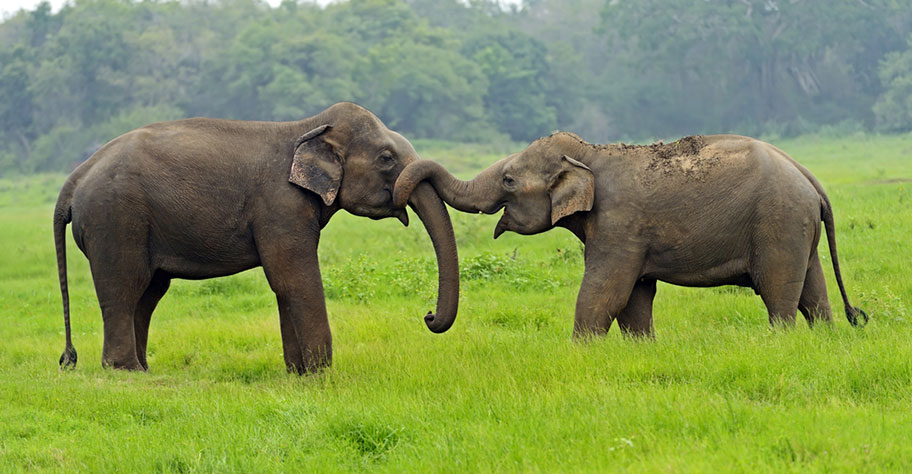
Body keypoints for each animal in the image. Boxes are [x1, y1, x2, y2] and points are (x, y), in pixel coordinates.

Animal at [53, 101, 460, 374]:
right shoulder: (279, 205)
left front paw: (298, 375)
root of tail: (75, 178)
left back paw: (142, 369)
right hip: (115, 220)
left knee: (148, 292)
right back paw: (125, 371)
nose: (427, 315)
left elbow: (285, 284)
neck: (310, 127)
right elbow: (294, 278)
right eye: (386, 158)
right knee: (124, 287)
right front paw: (321, 375)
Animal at [396, 130, 864, 336]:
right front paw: (643, 349)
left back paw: (780, 342)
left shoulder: (619, 224)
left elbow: (605, 290)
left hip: (778, 223)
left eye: (509, 180)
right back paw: (824, 340)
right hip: (797, 226)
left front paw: (580, 351)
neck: (588, 154)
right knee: (813, 291)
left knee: (778, 291)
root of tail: (810, 178)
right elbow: (635, 297)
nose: (428, 315)